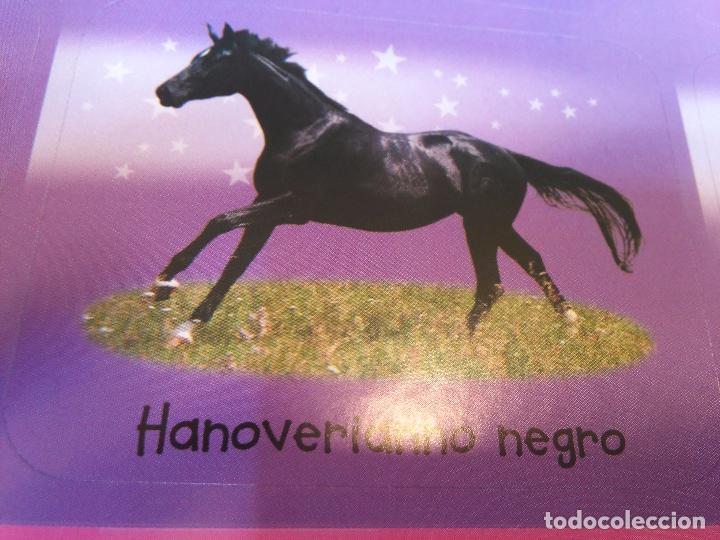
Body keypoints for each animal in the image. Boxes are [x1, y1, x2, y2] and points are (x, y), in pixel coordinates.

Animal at [152, 23, 641, 346]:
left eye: (214, 61)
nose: (164, 92)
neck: (305, 132)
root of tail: (511, 157)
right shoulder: (267, 207)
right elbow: (235, 265)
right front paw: (183, 328)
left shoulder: (293, 206)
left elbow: (219, 221)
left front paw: (162, 289)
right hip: (492, 225)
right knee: (527, 265)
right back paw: (567, 326)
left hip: (483, 225)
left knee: (494, 282)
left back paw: (456, 350)